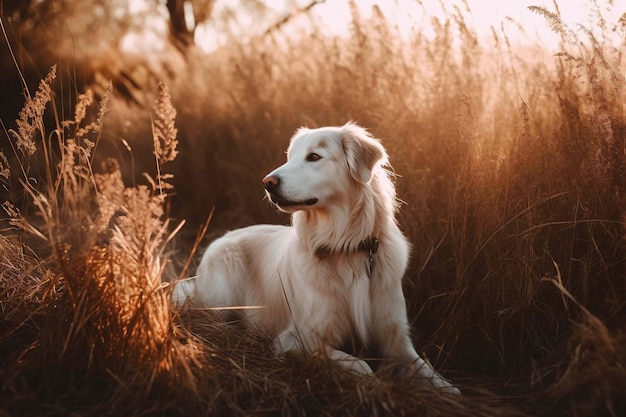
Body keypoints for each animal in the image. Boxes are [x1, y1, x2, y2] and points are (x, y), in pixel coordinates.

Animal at [173, 121, 460, 394]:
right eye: (290, 157)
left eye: (314, 157)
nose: (267, 183)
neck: (346, 248)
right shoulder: (296, 339)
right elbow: (362, 365)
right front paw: (376, 384)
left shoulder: (396, 338)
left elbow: (436, 377)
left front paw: (450, 391)